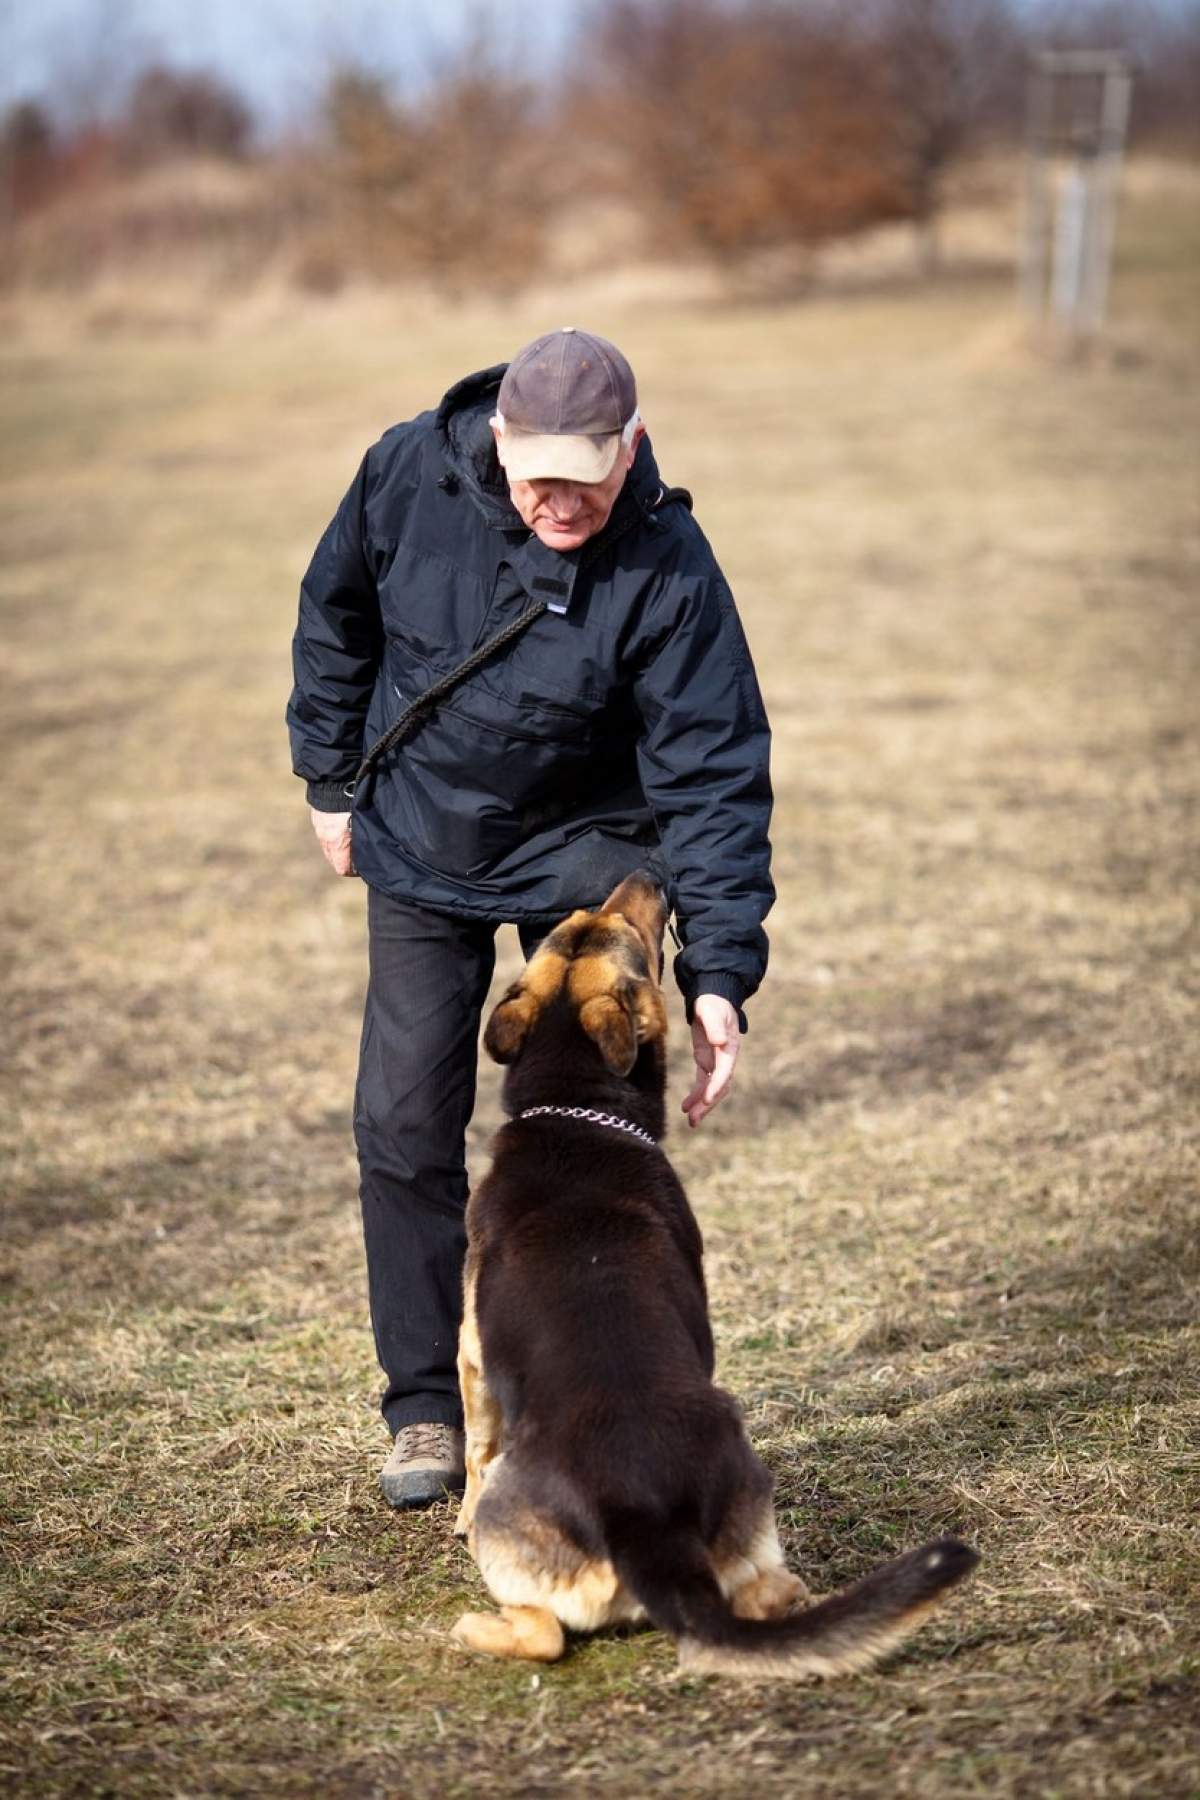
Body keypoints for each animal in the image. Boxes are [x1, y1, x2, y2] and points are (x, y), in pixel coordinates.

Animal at [449, 871, 978, 1670]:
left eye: (616, 925)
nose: (647, 872)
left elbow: (476, 1444)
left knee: (543, 1634)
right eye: (590, 918)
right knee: (765, 1595)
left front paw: (459, 1511)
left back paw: (472, 1626)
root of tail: (644, 1517)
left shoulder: (472, 1353)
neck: (575, 1111)